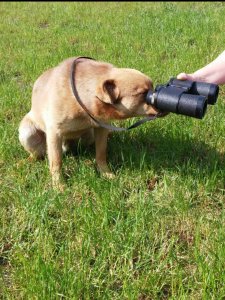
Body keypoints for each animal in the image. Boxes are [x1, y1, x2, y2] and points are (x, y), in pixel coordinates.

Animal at [18, 57, 160, 189]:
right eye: (143, 93)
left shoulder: (101, 128)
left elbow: (101, 154)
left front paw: (105, 173)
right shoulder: (54, 133)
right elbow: (56, 162)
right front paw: (58, 185)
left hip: (89, 135)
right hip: (27, 132)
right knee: (38, 153)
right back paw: (28, 160)